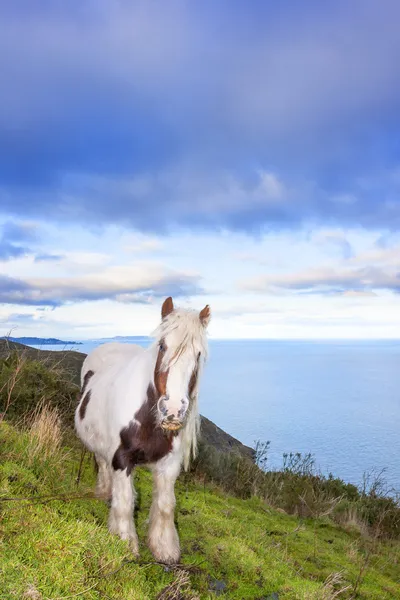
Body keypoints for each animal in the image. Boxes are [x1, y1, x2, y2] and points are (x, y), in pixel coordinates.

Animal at [74, 298, 209, 564]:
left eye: (198, 354)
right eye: (162, 346)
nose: (173, 410)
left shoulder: (169, 464)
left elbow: (166, 506)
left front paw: (165, 549)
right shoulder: (121, 459)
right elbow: (125, 502)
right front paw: (125, 544)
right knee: (102, 464)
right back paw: (104, 492)